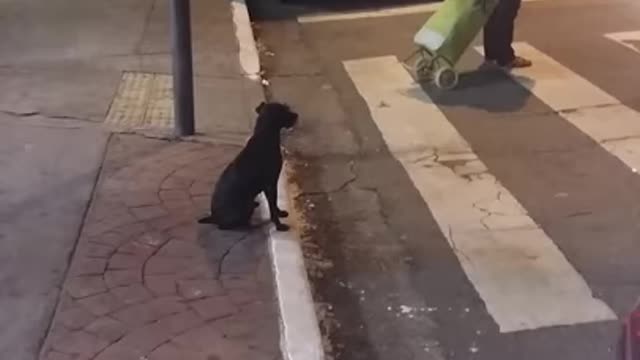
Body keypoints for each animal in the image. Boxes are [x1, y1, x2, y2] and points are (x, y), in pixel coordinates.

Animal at [198, 101, 298, 231]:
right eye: (285, 110)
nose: (296, 115)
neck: (264, 136)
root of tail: (213, 217)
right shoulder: (270, 184)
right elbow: (272, 206)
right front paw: (279, 225)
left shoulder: (270, 185)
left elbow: (274, 203)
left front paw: (280, 213)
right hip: (245, 206)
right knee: (227, 226)